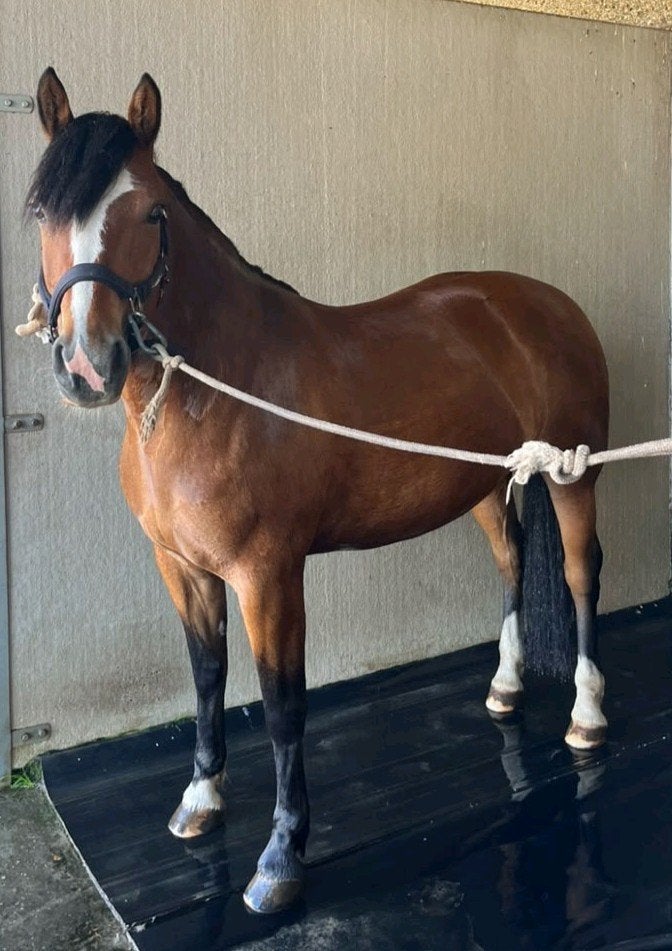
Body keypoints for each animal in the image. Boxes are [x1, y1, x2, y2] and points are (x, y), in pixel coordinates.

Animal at [27, 67, 609, 914]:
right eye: (42, 211)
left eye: (149, 213)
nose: (87, 366)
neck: (216, 390)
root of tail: (550, 303)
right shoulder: (182, 567)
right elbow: (207, 676)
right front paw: (200, 798)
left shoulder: (268, 574)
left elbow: (282, 704)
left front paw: (280, 858)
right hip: (485, 481)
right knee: (511, 560)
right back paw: (504, 686)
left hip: (574, 475)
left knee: (578, 574)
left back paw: (588, 716)